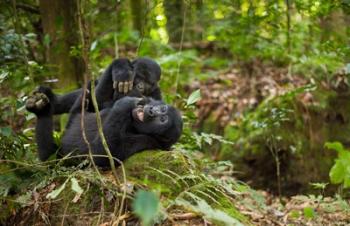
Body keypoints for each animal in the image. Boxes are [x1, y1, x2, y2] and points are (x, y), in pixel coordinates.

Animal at [25, 86, 183, 166]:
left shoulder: (146, 142)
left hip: (58, 160)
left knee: (50, 157)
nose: (151, 111)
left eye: (162, 120)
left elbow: (101, 154)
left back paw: (42, 112)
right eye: (161, 108)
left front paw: (124, 104)